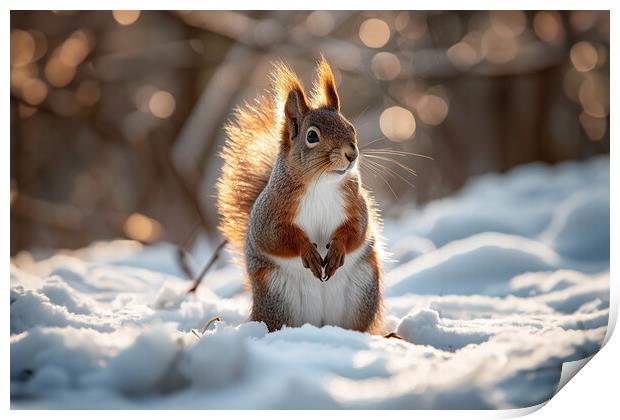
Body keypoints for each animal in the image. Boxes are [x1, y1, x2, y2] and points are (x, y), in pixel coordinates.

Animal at [217, 58, 382, 334]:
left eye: (350, 127)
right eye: (312, 136)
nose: (352, 154)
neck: (322, 184)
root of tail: (319, 324)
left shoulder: (356, 204)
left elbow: (357, 229)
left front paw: (337, 248)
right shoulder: (269, 214)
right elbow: (275, 237)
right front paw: (307, 250)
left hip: (363, 290)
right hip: (278, 298)